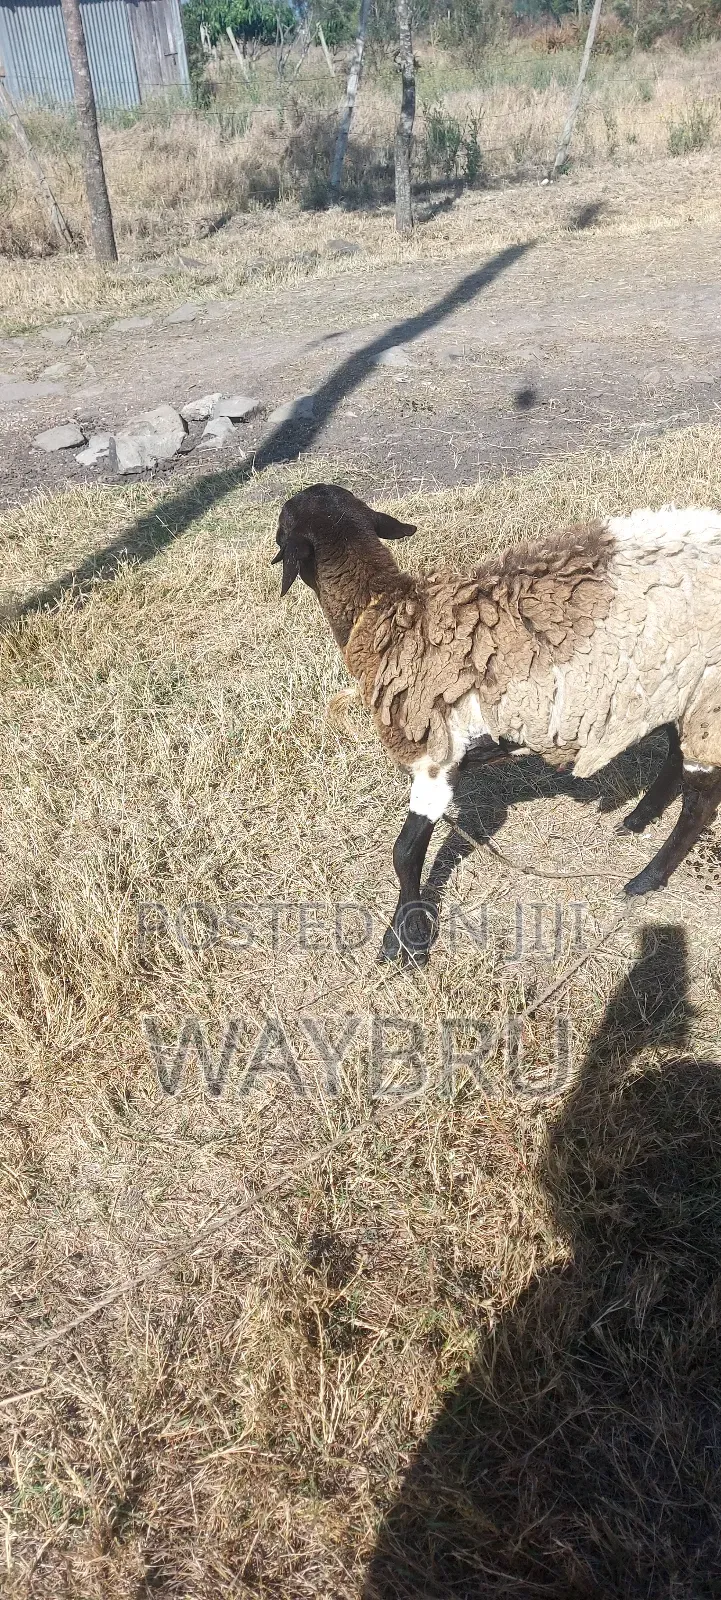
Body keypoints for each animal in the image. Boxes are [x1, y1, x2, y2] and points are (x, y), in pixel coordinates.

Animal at [272, 484, 721, 964]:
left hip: (705, 696)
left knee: (700, 801)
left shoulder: (433, 759)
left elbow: (405, 852)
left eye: (282, 524)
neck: (385, 614)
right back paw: (637, 819)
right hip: (673, 686)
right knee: (674, 754)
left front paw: (404, 940)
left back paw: (645, 879)